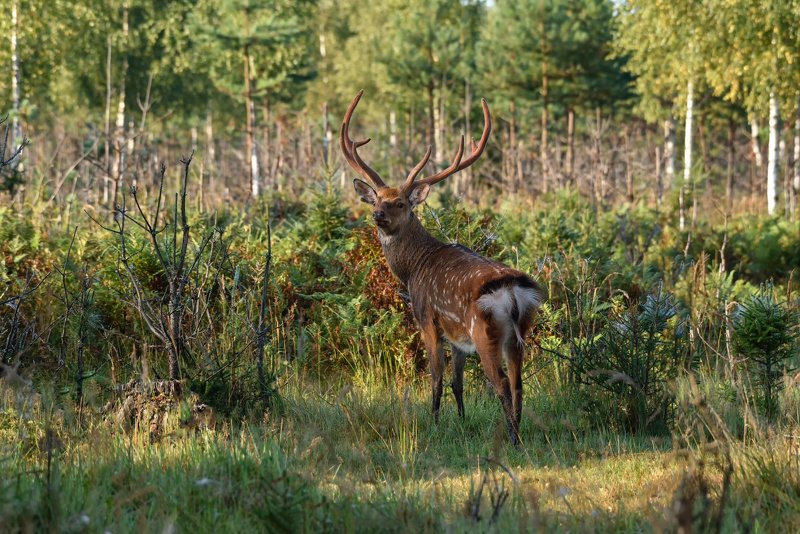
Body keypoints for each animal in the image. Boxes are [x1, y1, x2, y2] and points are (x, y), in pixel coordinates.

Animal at [340, 90, 545, 444]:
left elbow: (435, 377)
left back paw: (512, 438)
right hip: (519, 333)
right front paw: (461, 420)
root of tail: (512, 293)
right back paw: (518, 431)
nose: (378, 215)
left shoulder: (426, 317)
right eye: (377, 199)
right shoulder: (457, 334)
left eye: (400, 203)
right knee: (519, 383)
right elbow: (457, 381)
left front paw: (433, 423)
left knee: (502, 383)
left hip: (485, 331)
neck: (413, 268)